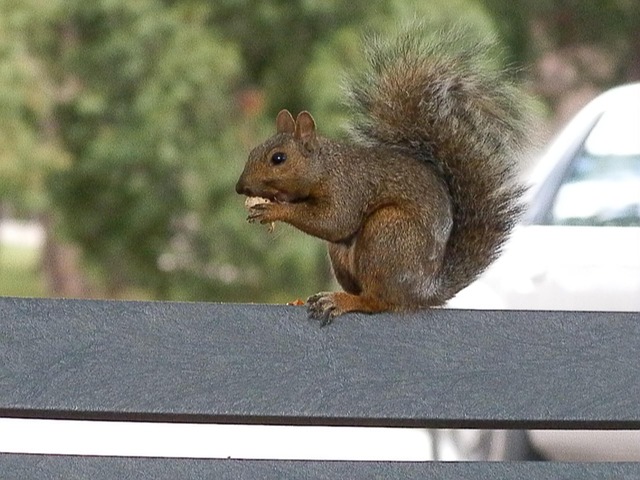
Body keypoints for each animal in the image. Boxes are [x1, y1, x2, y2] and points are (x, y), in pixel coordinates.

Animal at [236, 28, 528, 325]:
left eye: (278, 158)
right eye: (253, 150)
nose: (240, 187)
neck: (326, 167)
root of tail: (423, 292)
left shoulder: (348, 187)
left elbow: (334, 221)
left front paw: (274, 210)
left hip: (387, 236)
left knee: (377, 300)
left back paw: (342, 301)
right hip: (346, 254)